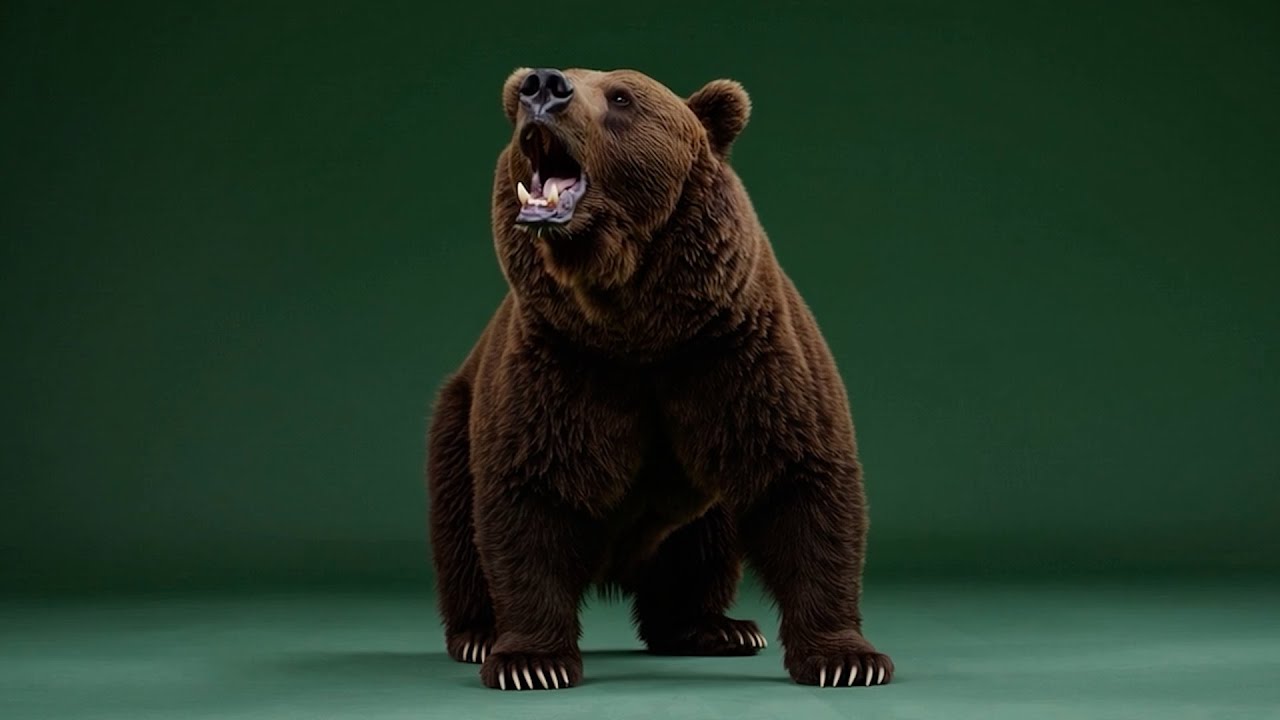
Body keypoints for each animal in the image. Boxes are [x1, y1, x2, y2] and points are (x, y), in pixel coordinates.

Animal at [426, 66, 893, 691]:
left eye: (621, 97)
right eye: (526, 91)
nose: (542, 86)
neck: (637, 325)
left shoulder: (736, 353)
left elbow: (802, 479)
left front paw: (847, 659)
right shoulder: (557, 364)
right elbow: (528, 493)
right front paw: (530, 662)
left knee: (703, 547)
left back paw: (718, 628)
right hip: (456, 415)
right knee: (458, 520)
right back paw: (477, 633)